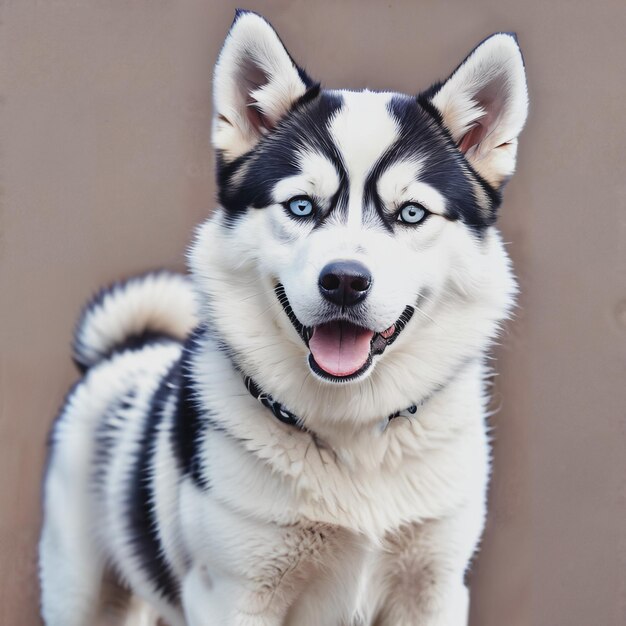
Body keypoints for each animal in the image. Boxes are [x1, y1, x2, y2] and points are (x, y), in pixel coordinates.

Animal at [37, 9, 528, 624]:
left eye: (411, 213)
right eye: (301, 206)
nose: (344, 281)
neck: (351, 438)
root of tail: (127, 349)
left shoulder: (434, 589)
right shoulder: (235, 594)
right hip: (80, 591)